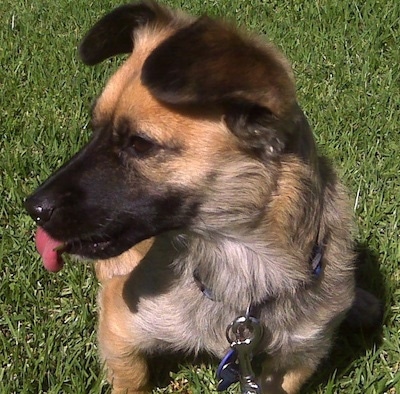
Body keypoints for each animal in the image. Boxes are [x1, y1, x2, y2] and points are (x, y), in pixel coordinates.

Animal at [25, 1, 382, 392]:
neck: (241, 265)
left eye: (139, 144)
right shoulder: (119, 325)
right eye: (94, 130)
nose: (34, 207)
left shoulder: (297, 358)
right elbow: (133, 377)